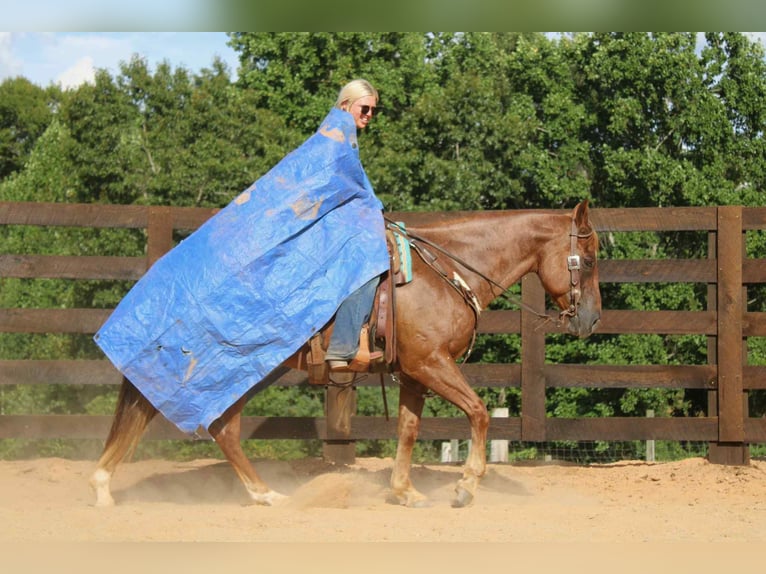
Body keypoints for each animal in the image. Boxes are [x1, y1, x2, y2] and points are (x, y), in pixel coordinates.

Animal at [90, 200, 601, 508]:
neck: (445, 271)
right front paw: (464, 487)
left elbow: (409, 429)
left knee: (217, 428)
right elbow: (477, 412)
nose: (592, 319)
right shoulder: (431, 364)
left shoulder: (413, 373)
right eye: (591, 259)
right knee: (197, 422)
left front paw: (404, 491)